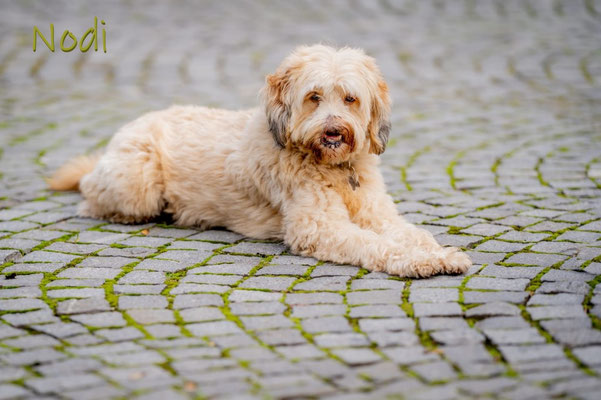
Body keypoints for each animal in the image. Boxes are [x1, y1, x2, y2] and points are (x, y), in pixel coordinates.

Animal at [48, 44, 471, 278]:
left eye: (350, 98)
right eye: (314, 97)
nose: (334, 131)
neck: (335, 170)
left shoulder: (379, 214)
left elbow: (413, 234)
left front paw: (439, 254)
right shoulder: (319, 228)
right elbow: (373, 244)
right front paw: (415, 262)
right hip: (136, 184)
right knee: (91, 197)